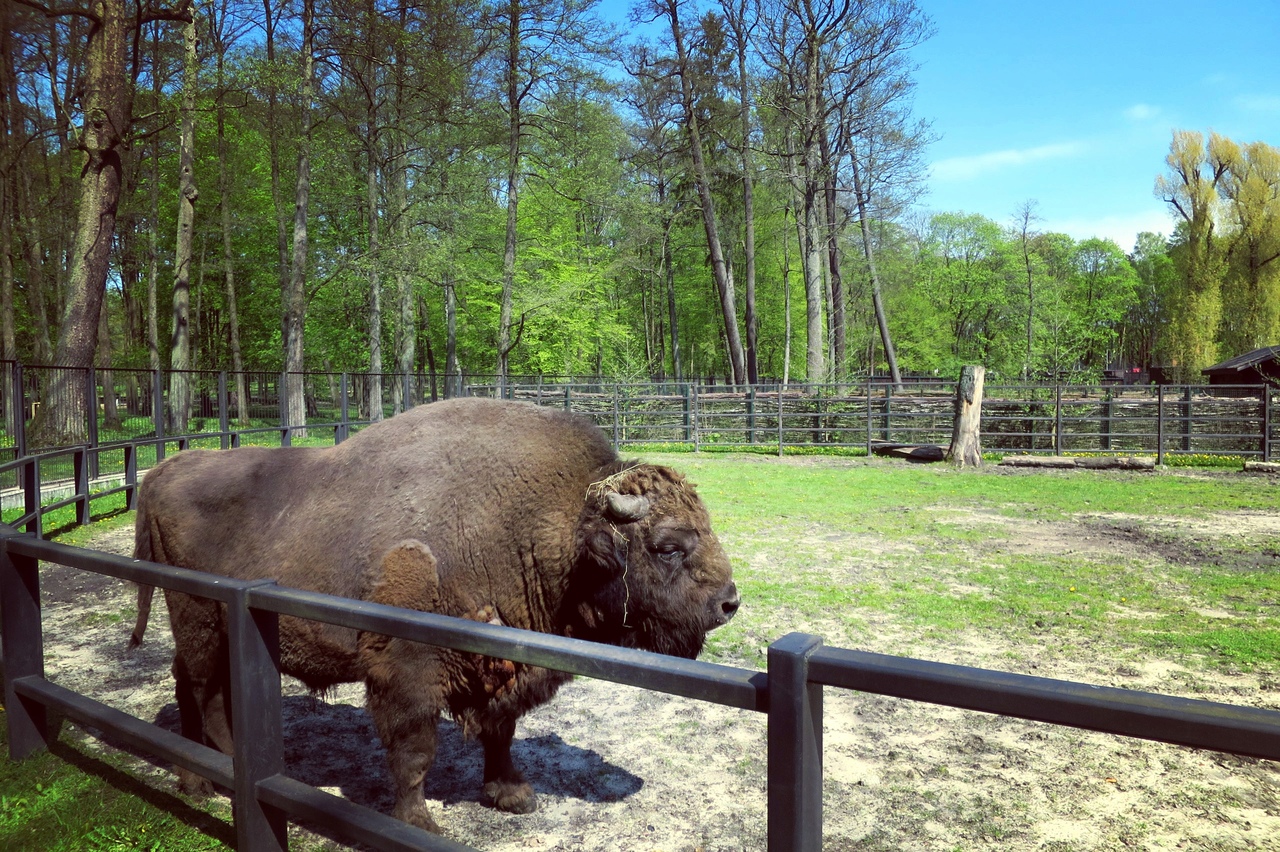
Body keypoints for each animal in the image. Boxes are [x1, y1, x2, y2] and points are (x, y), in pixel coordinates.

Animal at [129, 396, 742, 828]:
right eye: (667, 545)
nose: (729, 602)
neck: (553, 526)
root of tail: (163, 471)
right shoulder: (404, 669)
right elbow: (415, 750)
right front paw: (419, 822)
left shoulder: (501, 663)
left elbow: (500, 732)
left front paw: (511, 795)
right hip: (200, 618)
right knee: (204, 688)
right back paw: (215, 776)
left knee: (189, 682)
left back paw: (195, 774)